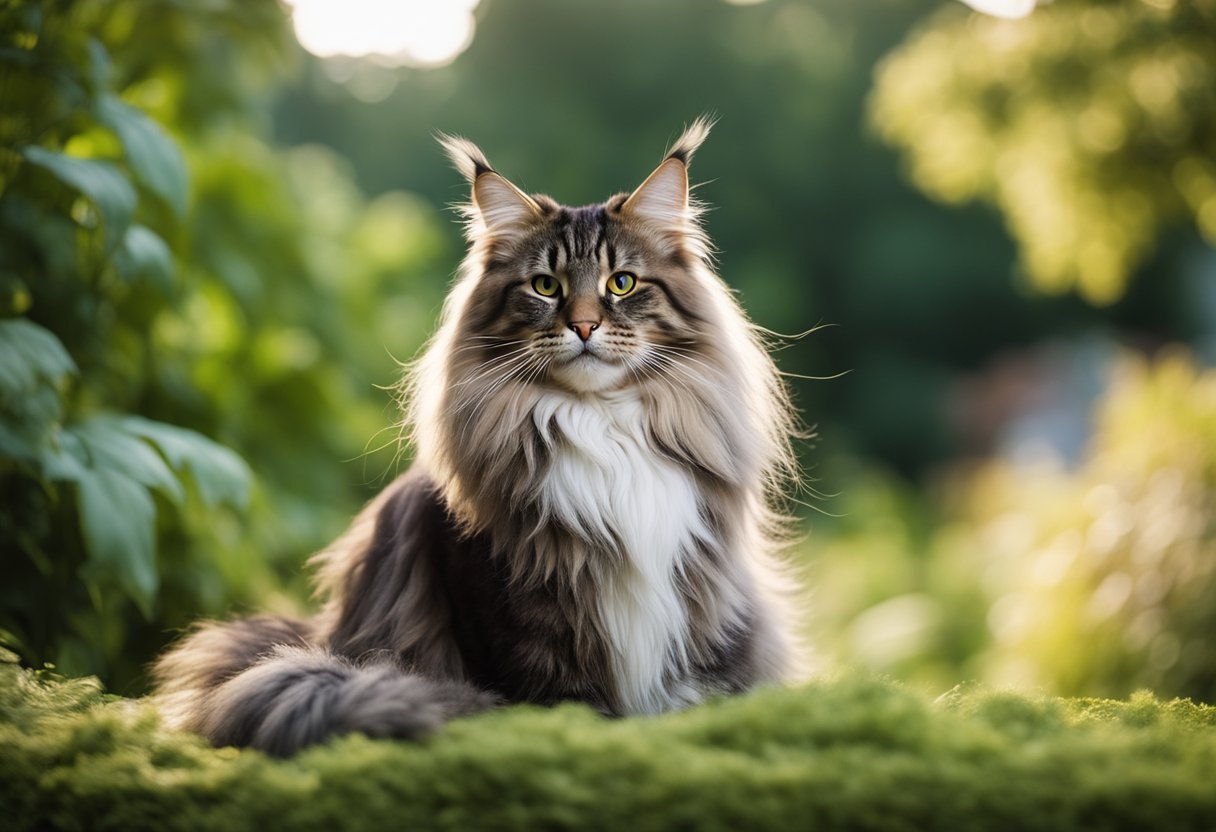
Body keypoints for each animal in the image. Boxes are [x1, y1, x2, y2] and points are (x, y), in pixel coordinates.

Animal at [154, 120, 807, 759]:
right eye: (545, 286)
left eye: (622, 283)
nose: (585, 325)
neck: (601, 428)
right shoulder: (506, 605)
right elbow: (559, 699)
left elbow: (696, 683)